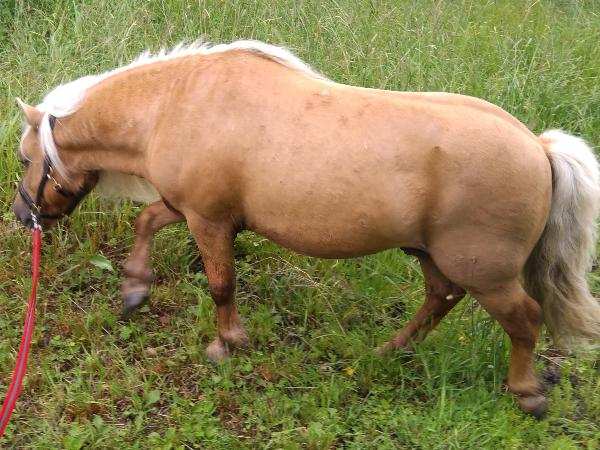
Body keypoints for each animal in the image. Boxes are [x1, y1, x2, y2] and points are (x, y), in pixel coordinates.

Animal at [12, 40, 600, 417]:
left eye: (25, 157)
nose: (22, 215)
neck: (176, 104)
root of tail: (537, 146)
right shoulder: (192, 209)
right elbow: (147, 220)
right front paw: (135, 287)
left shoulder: (209, 221)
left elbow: (221, 285)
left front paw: (227, 343)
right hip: (432, 255)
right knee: (441, 297)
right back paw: (391, 351)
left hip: (486, 273)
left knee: (523, 318)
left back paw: (525, 392)